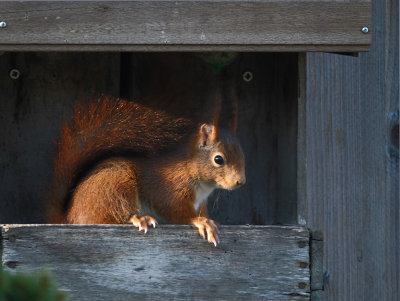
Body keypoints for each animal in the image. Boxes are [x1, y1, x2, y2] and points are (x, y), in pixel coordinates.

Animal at [48, 95, 245, 245]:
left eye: (243, 155)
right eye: (218, 159)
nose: (240, 182)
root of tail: (68, 218)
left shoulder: (200, 203)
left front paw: (211, 220)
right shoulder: (170, 188)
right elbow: (174, 210)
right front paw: (202, 222)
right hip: (114, 184)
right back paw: (139, 218)